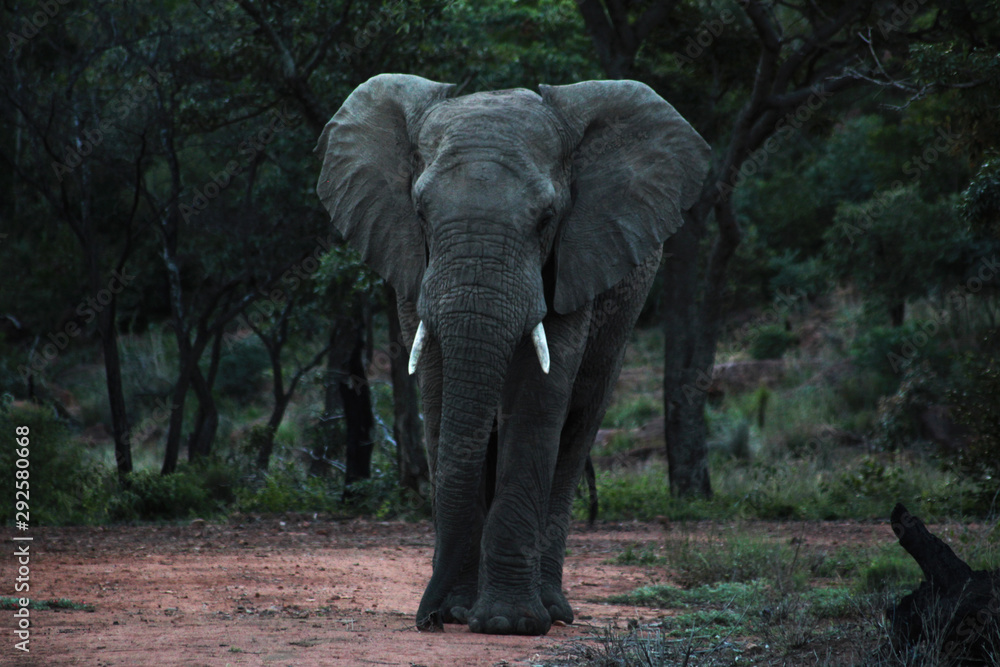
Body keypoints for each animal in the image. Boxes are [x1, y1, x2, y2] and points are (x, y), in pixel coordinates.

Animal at [315, 73, 710, 635]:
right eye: (420, 213)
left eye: (547, 218)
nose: (429, 618)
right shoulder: (412, 269)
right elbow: (439, 393)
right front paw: (463, 611)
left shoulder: (575, 259)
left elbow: (537, 398)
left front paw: (508, 623)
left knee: (576, 428)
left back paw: (554, 611)